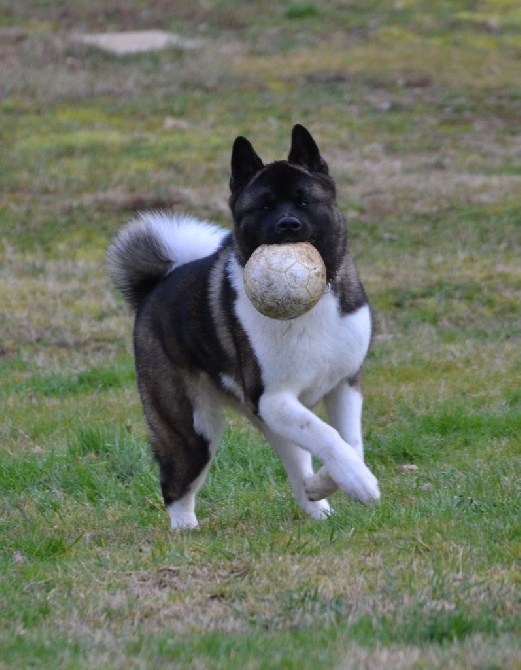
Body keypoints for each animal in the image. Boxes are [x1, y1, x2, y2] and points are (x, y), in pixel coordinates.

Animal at [107, 122, 380, 532]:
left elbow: (350, 442)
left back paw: (317, 505)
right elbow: (326, 434)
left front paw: (330, 482)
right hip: (191, 429)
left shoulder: (343, 385)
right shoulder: (273, 398)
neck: (311, 307)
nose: (288, 224)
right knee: (175, 484)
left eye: (303, 201)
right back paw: (186, 530)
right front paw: (360, 482)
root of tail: (154, 288)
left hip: (263, 420)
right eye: (264, 206)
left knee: (297, 464)